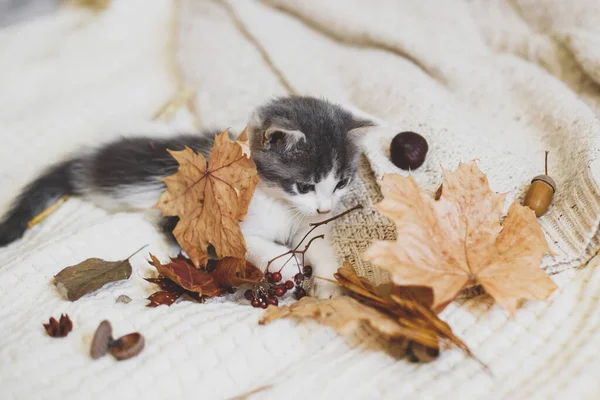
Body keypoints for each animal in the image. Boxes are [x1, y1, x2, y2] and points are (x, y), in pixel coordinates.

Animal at [0, 96, 378, 296]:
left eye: (341, 183)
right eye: (304, 185)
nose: (325, 208)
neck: (279, 203)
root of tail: (86, 155)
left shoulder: (305, 222)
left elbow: (319, 243)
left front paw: (328, 285)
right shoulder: (228, 220)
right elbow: (256, 246)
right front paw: (288, 265)